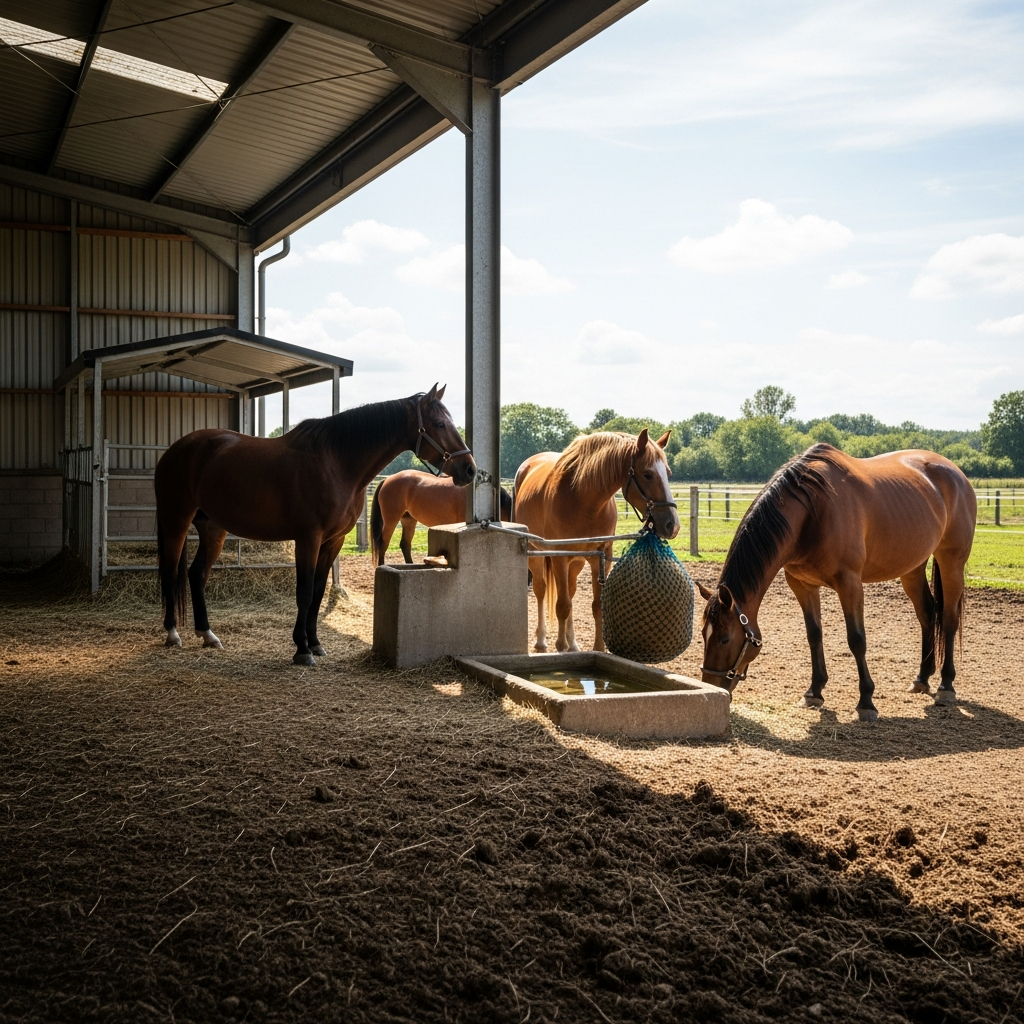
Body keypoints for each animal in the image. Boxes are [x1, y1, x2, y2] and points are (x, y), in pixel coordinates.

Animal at [154, 385, 474, 665]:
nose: (469, 469)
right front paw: (301, 649)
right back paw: (172, 634)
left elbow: (319, 592)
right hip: (176, 520)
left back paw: (207, 634)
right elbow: (305, 591)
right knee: (170, 572)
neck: (335, 463)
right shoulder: (308, 538)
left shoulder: (333, 542)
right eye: (439, 424)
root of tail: (175, 450)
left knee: (196, 574)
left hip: (213, 528)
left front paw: (315, 643)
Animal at [513, 429, 680, 653]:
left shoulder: (600, 557)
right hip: (537, 554)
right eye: (647, 474)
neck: (583, 498)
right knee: (541, 590)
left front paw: (598, 648)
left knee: (570, 592)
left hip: (576, 562)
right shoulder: (559, 556)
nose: (672, 525)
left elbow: (596, 605)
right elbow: (562, 605)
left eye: (668, 473)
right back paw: (542, 641)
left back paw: (573, 643)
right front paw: (560, 646)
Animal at [697, 443, 976, 721]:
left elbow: (857, 639)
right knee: (927, 613)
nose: (712, 685)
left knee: (949, 619)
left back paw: (946, 686)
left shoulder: (850, 584)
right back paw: (922, 678)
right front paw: (814, 692)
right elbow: (814, 634)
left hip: (952, 562)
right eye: (702, 634)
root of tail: (957, 474)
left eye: (724, 638)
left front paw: (866, 701)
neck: (812, 512)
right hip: (912, 568)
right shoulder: (802, 584)